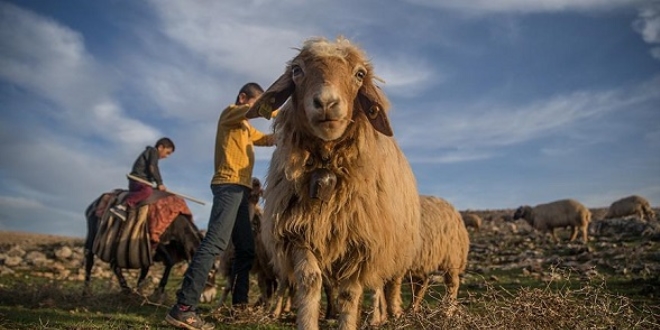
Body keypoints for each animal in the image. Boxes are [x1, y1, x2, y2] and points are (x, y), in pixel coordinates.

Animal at [245, 35, 420, 330]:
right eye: (297, 70)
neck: (327, 162)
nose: (326, 102)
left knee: (377, 286)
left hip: (389, 248)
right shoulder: (298, 232)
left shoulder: (363, 241)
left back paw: (379, 316)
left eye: (359, 74)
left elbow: (350, 293)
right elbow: (310, 281)